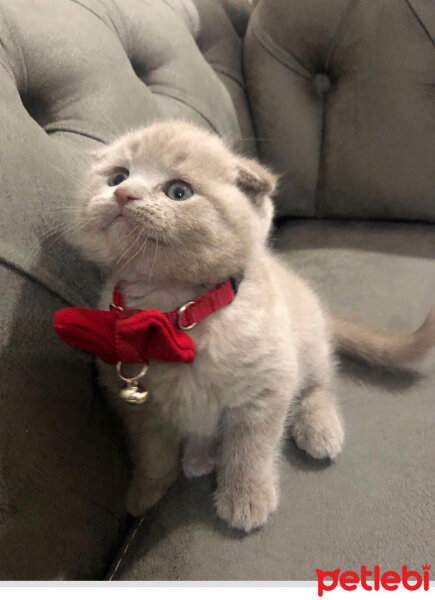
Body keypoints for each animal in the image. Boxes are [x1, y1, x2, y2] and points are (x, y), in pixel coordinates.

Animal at [71, 119, 435, 532]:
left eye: (179, 191)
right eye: (117, 176)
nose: (123, 194)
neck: (174, 311)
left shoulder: (266, 387)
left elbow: (250, 449)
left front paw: (246, 499)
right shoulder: (134, 407)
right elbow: (152, 454)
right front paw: (144, 494)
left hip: (308, 343)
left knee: (320, 383)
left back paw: (319, 428)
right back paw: (199, 455)